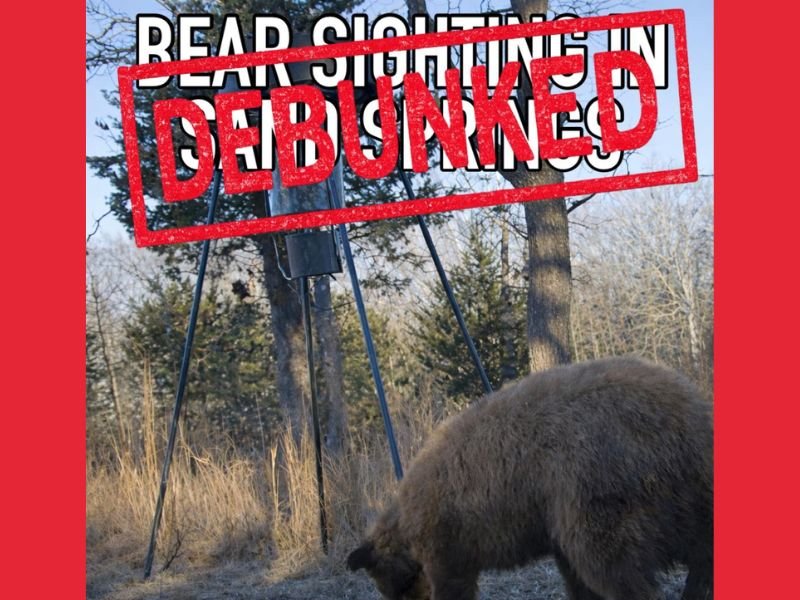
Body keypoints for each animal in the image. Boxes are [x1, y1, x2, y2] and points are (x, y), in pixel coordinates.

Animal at [347, 356, 713, 600]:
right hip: (689, 496)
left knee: (613, 564)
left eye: (394, 586)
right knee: (702, 551)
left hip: (602, 486)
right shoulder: (550, 524)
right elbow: (573, 575)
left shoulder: (447, 537)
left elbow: (453, 582)